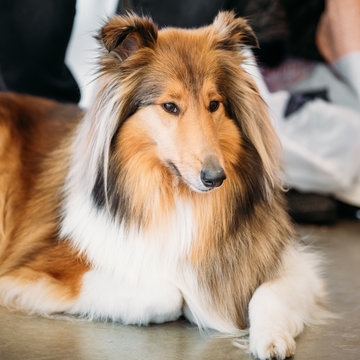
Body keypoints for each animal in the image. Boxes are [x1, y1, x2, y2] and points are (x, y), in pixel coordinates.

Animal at [0, 11, 326, 360]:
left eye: (214, 104)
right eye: (170, 106)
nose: (215, 178)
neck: (175, 195)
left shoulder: (292, 264)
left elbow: (269, 293)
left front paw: (271, 339)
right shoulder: (45, 267)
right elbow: (169, 295)